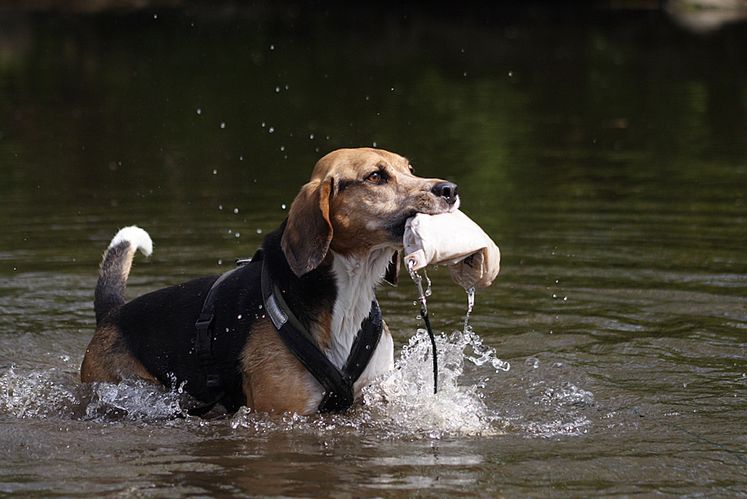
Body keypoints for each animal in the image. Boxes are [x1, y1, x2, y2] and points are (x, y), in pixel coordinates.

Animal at [80, 148, 456, 418]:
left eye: (410, 169)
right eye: (376, 176)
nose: (450, 189)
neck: (351, 293)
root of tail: (113, 313)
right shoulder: (284, 411)